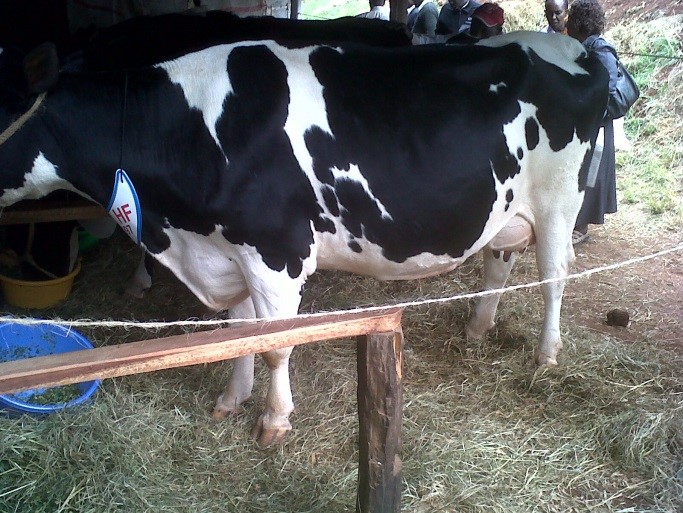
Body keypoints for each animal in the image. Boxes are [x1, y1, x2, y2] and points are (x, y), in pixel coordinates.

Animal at [0, 32, 608, 445]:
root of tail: (568, 46)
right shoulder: (234, 253)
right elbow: (238, 333)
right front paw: (231, 398)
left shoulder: (276, 255)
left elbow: (276, 344)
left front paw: (273, 420)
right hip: (505, 210)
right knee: (499, 263)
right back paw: (479, 327)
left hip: (560, 200)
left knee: (555, 277)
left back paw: (547, 354)